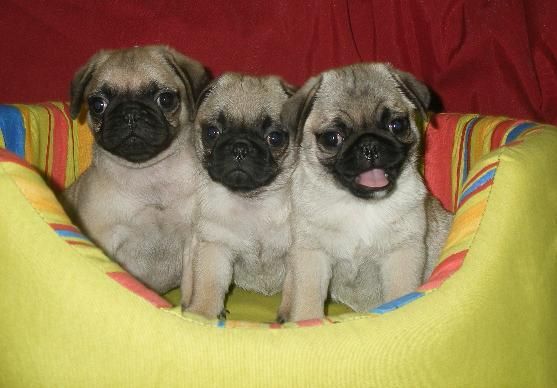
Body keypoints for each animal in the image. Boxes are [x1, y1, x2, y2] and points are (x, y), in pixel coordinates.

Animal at [63, 45, 210, 292]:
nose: (130, 113)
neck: (148, 175)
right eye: (98, 104)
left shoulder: (192, 243)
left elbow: (191, 289)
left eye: (166, 99)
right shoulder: (105, 239)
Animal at [181, 72, 296, 318]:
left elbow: (297, 288)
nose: (240, 148)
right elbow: (208, 283)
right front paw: (202, 314)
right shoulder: (215, 246)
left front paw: (294, 318)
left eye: (274, 138)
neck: (252, 201)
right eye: (212, 132)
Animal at [278, 63, 452, 322]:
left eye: (397, 125)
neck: (359, 205)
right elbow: (308, 300)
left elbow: (400, 294)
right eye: (332, 138)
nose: (369, 145)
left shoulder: (401, 255)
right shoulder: (311, 255)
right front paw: (306, 322)